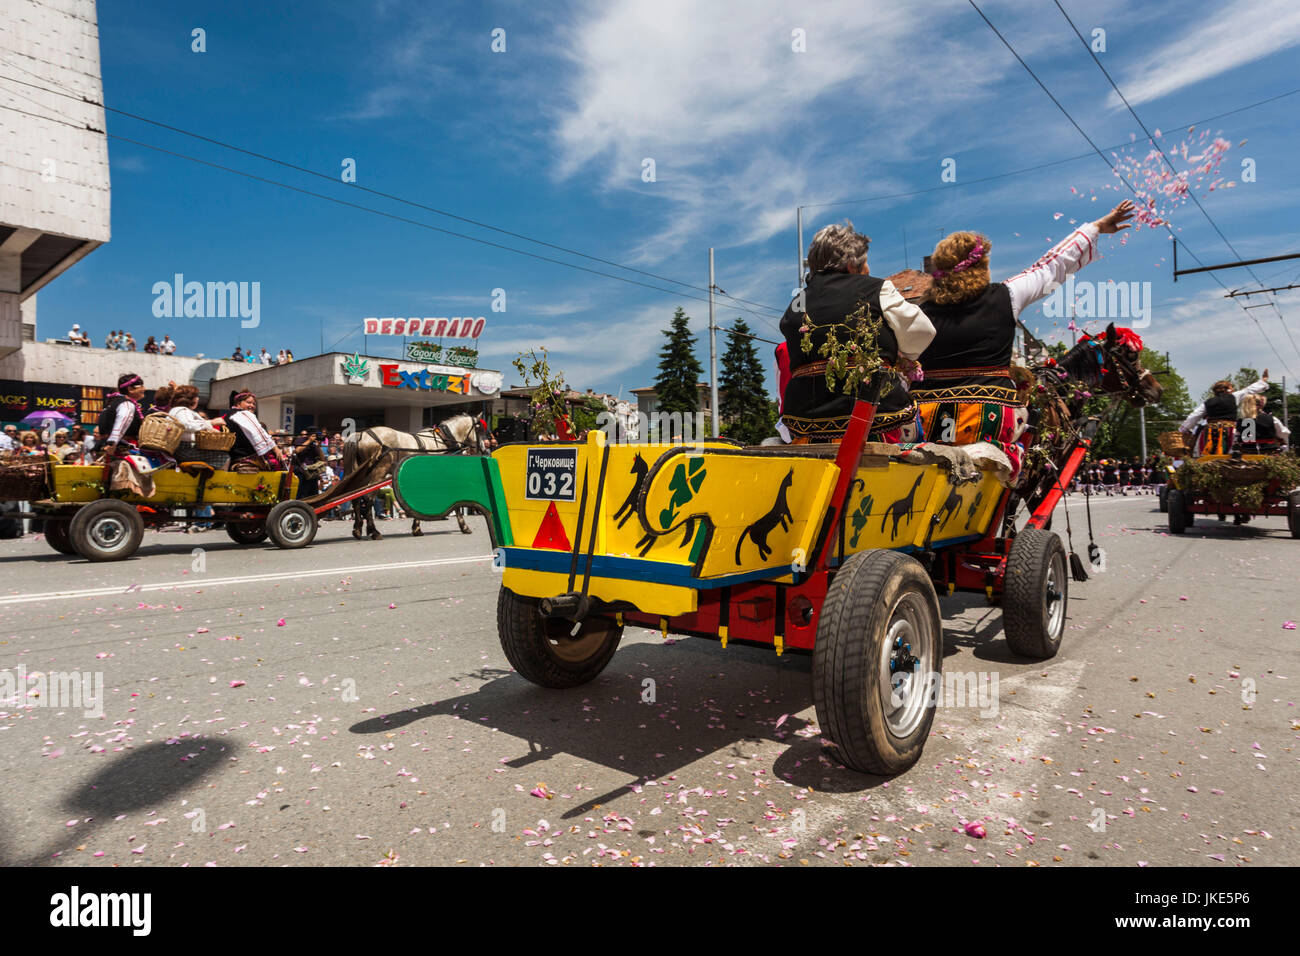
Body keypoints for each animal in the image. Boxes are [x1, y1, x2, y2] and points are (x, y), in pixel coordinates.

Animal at [338, 416, 488, 541]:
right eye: (479, 429)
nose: (484, 450)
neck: (443, 440)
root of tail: (360, 435)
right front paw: (464, 526)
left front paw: (417, 527)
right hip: (378, 472)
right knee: (368, 498)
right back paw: (374, 531)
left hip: (360, 475)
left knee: (355, 498)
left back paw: (357, 529)